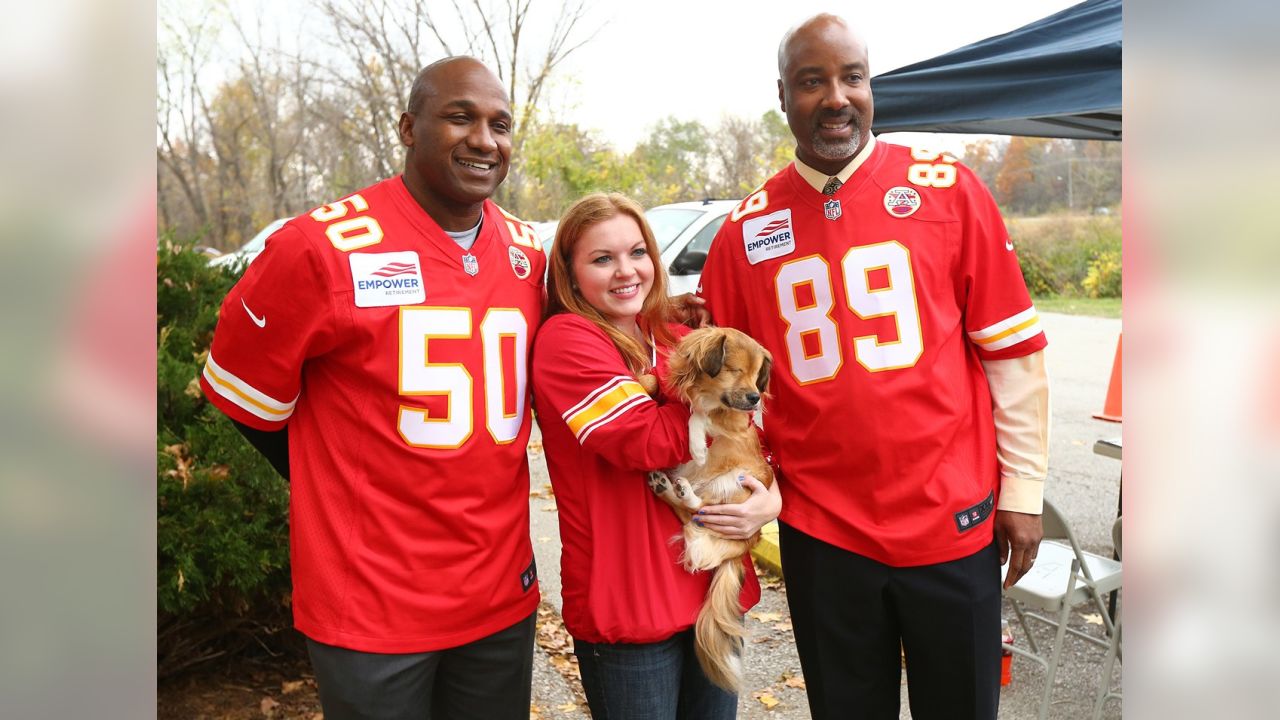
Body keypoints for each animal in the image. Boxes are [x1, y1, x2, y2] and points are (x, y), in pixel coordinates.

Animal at [645, 325, 773, 691]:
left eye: (757, 375)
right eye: (735, 370)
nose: (755, 398)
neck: (705, 391)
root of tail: (742, 545)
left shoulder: (735, 422)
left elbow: (700, 415)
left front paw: (698, 446)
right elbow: (663, 389)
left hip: (733, 482)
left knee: (698, 508)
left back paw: (683, 488)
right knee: (691, 516)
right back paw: (668, 487)